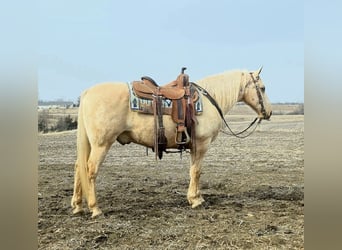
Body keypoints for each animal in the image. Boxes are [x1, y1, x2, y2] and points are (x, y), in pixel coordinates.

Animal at [71, 66, 272, 217]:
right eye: (262, 88)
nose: (268, 112)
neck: (209, 101)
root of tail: (87, 92)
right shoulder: (202, 144)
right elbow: (197, 171)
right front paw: (196, 200)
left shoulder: (194, 147)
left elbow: (194, 171)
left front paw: (196, 197)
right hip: (101, 144)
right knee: (90, 170)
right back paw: (95, 208)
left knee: (79, 167)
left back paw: (78, 205)